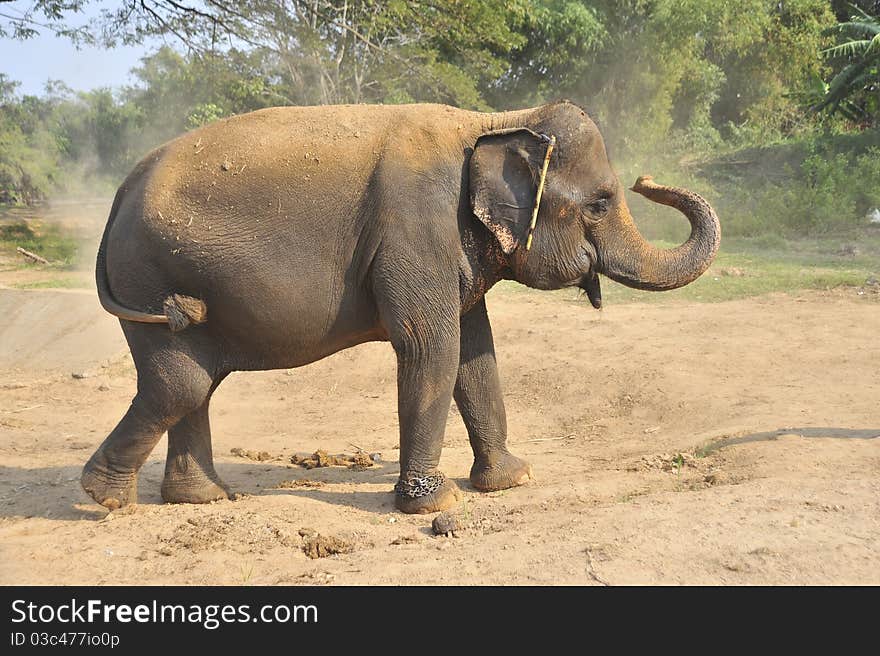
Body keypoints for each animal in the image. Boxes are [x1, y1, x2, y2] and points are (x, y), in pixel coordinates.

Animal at [79, 101, 720, 512]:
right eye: (602, 202)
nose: (646, 179)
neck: (494, 119)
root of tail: (118, 194)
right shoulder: (415, 228)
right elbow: (430, 346)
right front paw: (437, 504)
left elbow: (476, 354)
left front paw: (512, 480)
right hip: (149, 277)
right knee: (182, 383)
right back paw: (104, 499)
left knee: (195, 383)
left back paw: (202, 499)